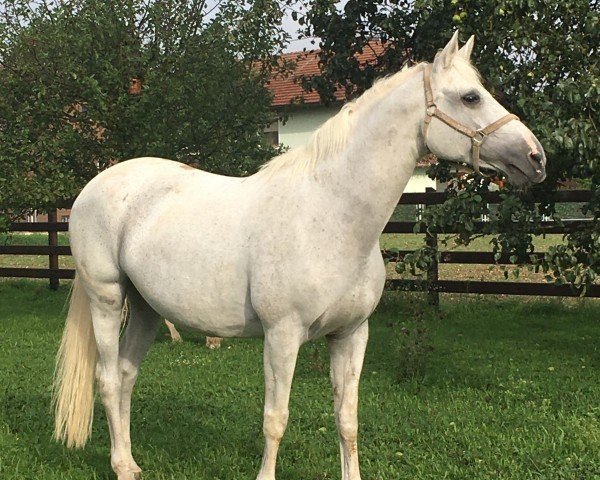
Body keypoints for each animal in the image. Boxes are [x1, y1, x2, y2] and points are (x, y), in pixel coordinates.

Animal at [54, 31, 548, 478]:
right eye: (470, 97)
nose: (536, 158)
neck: (329, 214)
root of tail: (96, 187)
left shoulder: (351, 335)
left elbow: (347, 420)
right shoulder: (282, 336)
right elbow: (276, 420)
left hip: (146, 307)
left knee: (125, 376)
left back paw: (131, 463)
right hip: (107, 298)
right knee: (106, 379)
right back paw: (121, 466)